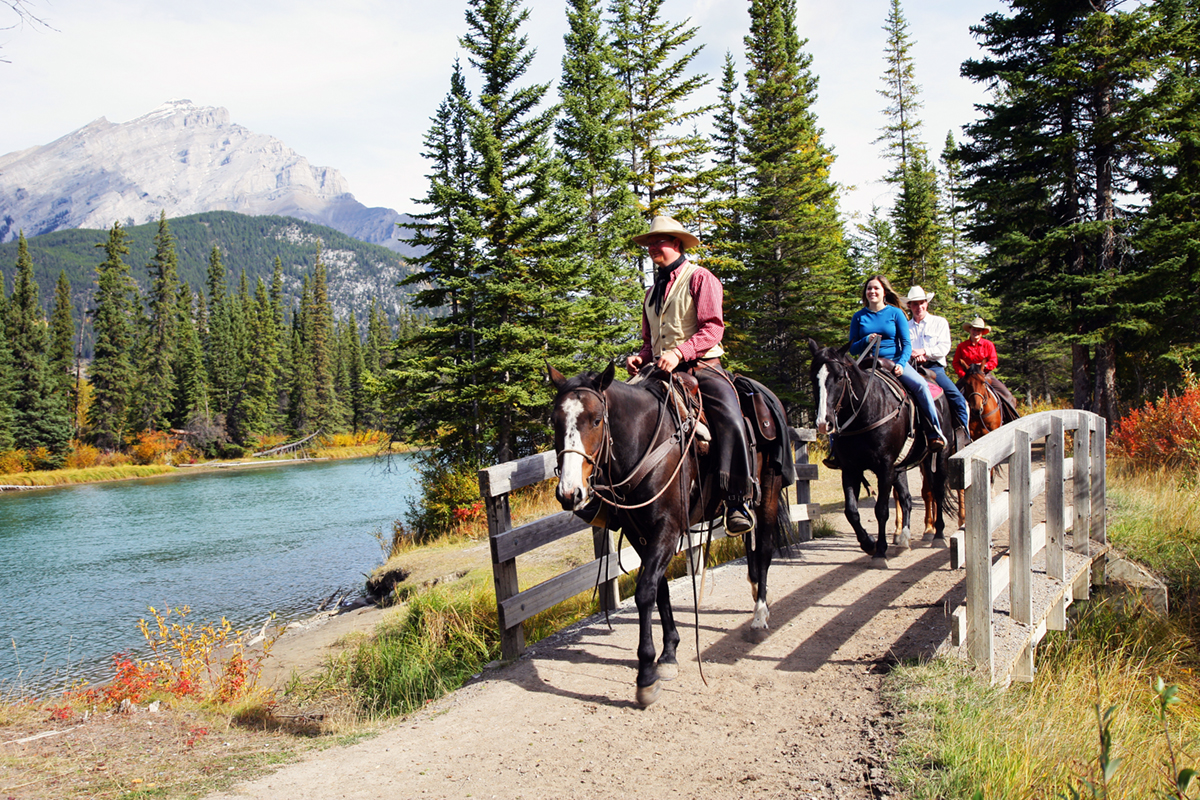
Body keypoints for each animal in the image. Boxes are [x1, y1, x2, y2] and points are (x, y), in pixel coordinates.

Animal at [549, 362, 792, 705]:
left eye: (596, 420)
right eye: (555, 421)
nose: (570, 493)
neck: (645, 442)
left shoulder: (667, 527)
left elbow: (644, 591)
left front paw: (646, 674)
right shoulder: (639, 533)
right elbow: (659, 590)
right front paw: (668, 654)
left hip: (768, 493)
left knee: (766, 549)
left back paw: (760, 615)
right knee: (752, 547)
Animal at [806, 338, 955, 563]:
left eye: (840, 377)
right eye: (813, 378)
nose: (824, 423)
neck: (866, 413)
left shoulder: (885, 468)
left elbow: (882, 510)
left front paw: (880, 551)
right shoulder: (851, 469)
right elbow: (851, 511)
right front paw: (868, 543)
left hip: (937, 457)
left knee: (937, 490)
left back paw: (938, 535)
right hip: (900, 467)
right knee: (906, 498)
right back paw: (903, 539)